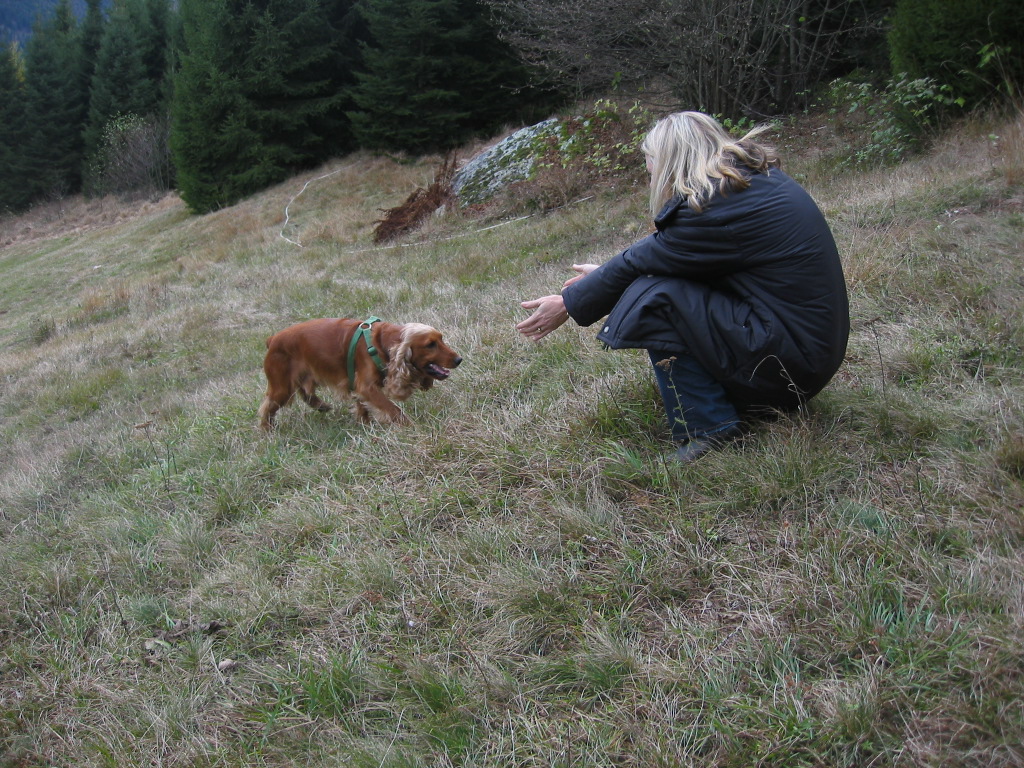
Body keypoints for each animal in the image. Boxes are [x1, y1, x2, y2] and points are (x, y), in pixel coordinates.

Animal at [258, 317, 461, 430]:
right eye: (430, 344)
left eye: (441, 339)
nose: (459, 359)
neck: (381, 343)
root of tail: (272, 339)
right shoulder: (366, 386)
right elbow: (393, 409)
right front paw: (412, 427)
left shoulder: (357, 386)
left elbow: (363, 407)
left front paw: (365, 426)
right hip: (282, 387)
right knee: (267, 407)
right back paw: (267, 431)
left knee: (305, 393)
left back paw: (322, 406)